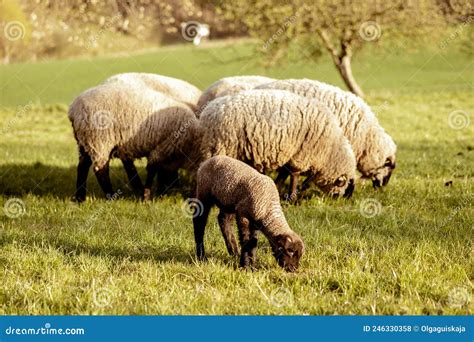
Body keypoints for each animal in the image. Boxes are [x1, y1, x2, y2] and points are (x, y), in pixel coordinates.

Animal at [68, 81, 198, 202]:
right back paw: (111, 196)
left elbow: (160, 170)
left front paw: (158, 192)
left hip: (85, 141)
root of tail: (73, 110)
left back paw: (80, 198)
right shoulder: (165, 146)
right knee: (100, 169)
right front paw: (147, 196)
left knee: (83, 166)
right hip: (100, 139)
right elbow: (153, 168)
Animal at [196, 89, 356, 199]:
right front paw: (292, 197)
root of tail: (207, 112)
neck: (331, 149)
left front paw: (278, 187)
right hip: (219, 145)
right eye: (339, 188)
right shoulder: (301, 154)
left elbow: (284, 173)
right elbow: (294, 174)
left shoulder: (290, 153)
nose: (334, 199)